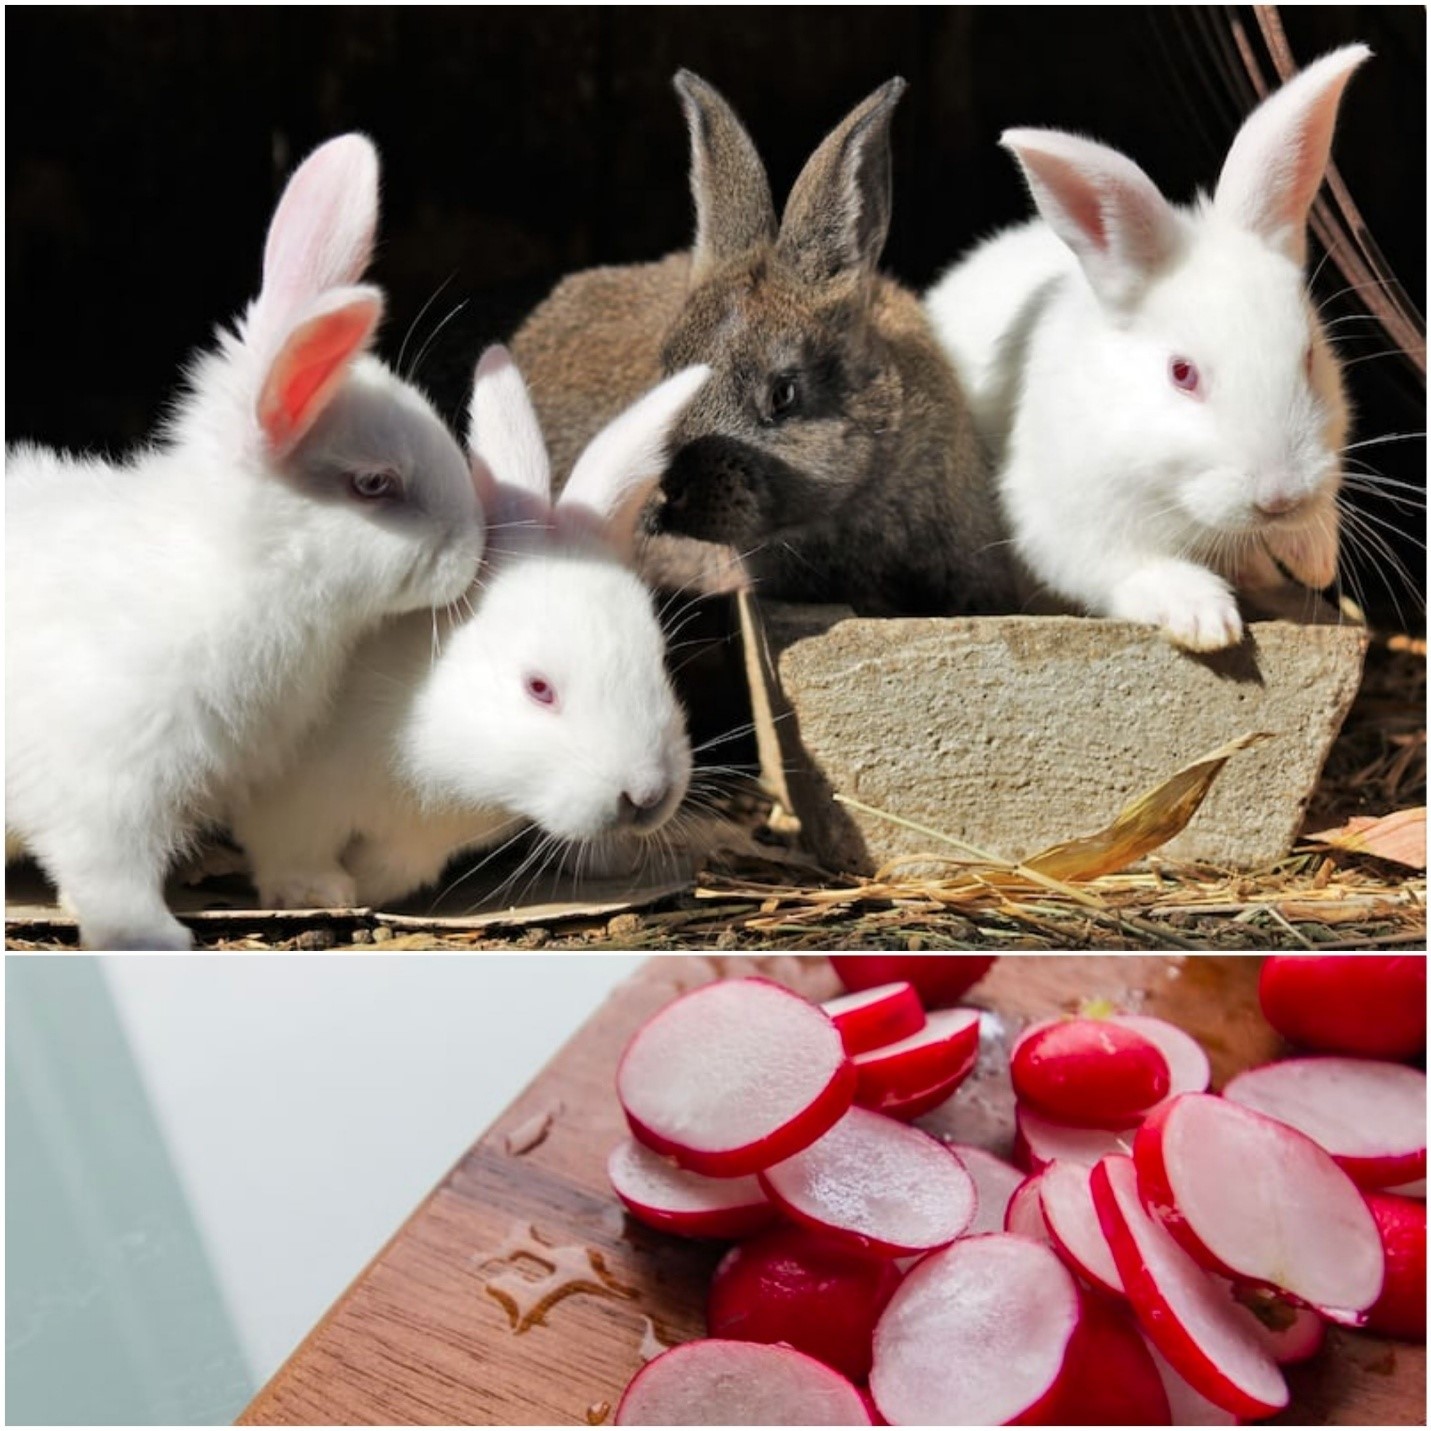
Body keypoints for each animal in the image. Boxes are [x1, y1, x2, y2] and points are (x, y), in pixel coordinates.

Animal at [5, 134, 487, 950]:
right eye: (374, 485)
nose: (475, 547)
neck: (236, 569)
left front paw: (320, 888)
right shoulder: (111, 782)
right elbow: (106, 871)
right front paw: (155, 936)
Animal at [228, 346, 707, 913]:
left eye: (660, 660)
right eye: (538, 688)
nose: (647, 795)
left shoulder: (416, 844)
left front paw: (364, 884)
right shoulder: (293, 801)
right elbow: (291, 851)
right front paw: (318, 893)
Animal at [924, 45, 1371, 651]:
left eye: (1308, 357)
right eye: (1181, 374)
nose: (1280, 499)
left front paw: (1314, 557)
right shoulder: (1068, 522)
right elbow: (1136, 568)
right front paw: (1206, 620)